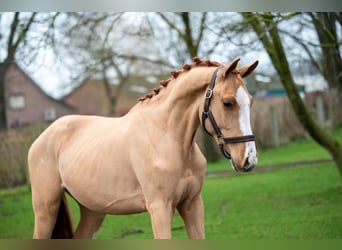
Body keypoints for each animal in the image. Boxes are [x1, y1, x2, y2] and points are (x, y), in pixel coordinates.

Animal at [28, 57, 258, 239]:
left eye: (250, 101)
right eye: (228, 103)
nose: (249, 159)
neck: (166, 136)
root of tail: (43, 136)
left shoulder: (192, 204)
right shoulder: (159, 208)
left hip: (93, 211)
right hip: (45, 210)